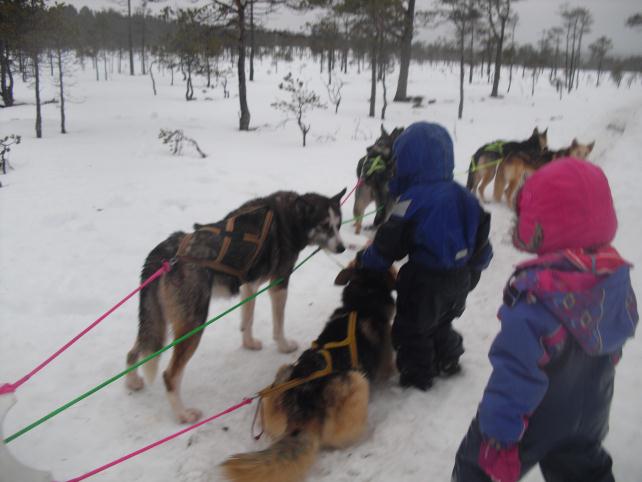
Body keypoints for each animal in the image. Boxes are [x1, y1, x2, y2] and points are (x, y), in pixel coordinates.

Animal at [124, 188, 344, 422]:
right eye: (324, 225)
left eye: (338, 225)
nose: (342, 247)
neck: (290, 216)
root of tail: (167, 252)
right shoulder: (279, 284)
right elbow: (279, 324)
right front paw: (284, 345)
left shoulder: (249, 284)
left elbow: (248, 319)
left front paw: (249, 343)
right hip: (193, 325)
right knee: (170, 375)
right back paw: (183, 414)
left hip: (158, 323)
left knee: (136, 349)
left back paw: (132, 381)